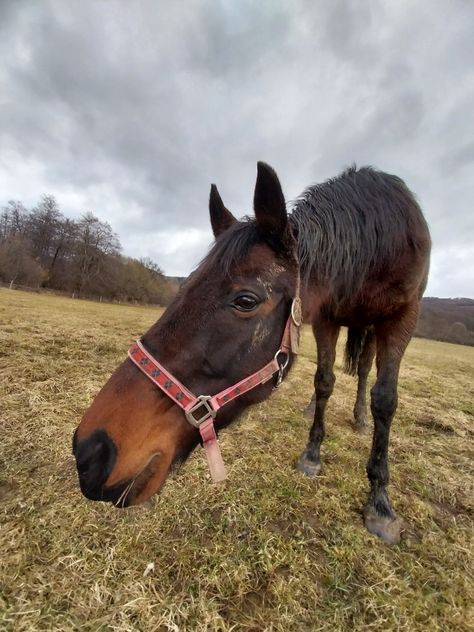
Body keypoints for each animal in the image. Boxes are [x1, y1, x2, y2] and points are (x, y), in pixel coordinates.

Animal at [73, 163, 430, 544]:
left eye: (246, 300)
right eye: (184, 287)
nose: (90, 452)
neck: (376, 238)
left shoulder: (403, 317)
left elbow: (385, 399)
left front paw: (379, 501)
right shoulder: (326, 316)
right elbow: (324, 381)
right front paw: (312, 453)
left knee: (364, 373)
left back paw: (361, 419)